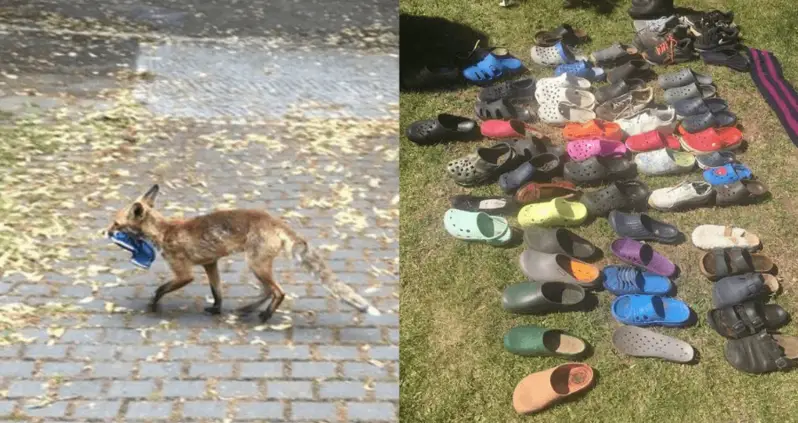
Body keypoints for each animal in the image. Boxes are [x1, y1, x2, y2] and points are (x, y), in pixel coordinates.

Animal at [105, 184, 380, 322]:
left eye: (116, 224)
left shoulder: (184, 273)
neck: (165, 231)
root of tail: (274, 220)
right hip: (257, 266)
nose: (105, 232)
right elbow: (217, 291)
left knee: (278, 292)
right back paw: (247, 309)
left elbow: (161, 288)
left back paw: (265, 316)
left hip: (255, 265)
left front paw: (152, 305)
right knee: (268, 291)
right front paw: (217, 309)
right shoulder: (211, 263)